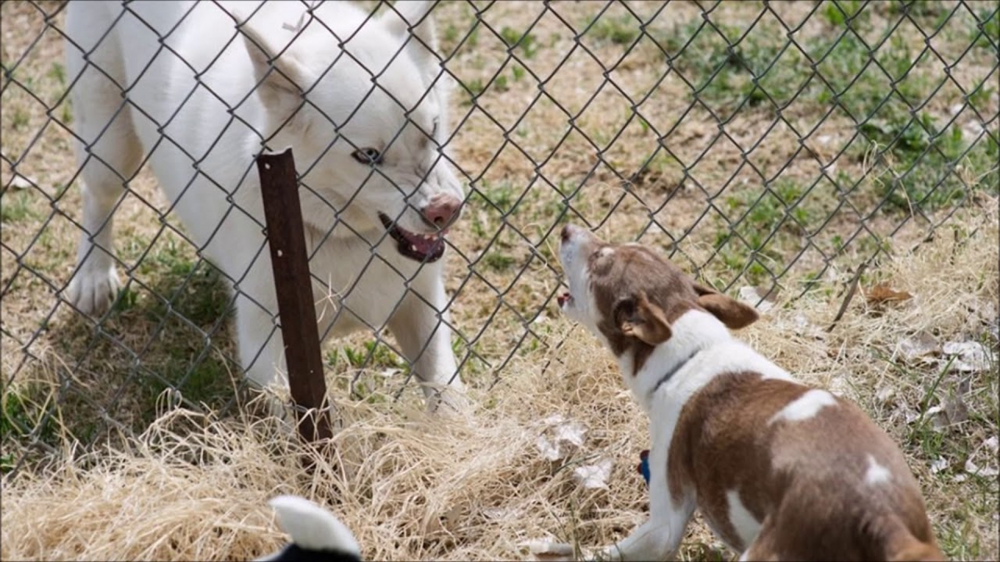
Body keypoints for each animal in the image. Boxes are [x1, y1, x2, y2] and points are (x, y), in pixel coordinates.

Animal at [64, 1, 466, 412]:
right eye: (367, 155)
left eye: (432, 128)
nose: (446, 209)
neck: (333, 233)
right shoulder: (267, 349)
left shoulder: (423, 307)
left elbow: (449, 398)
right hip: (110, 143)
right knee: (96, 197)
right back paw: (93, 277)